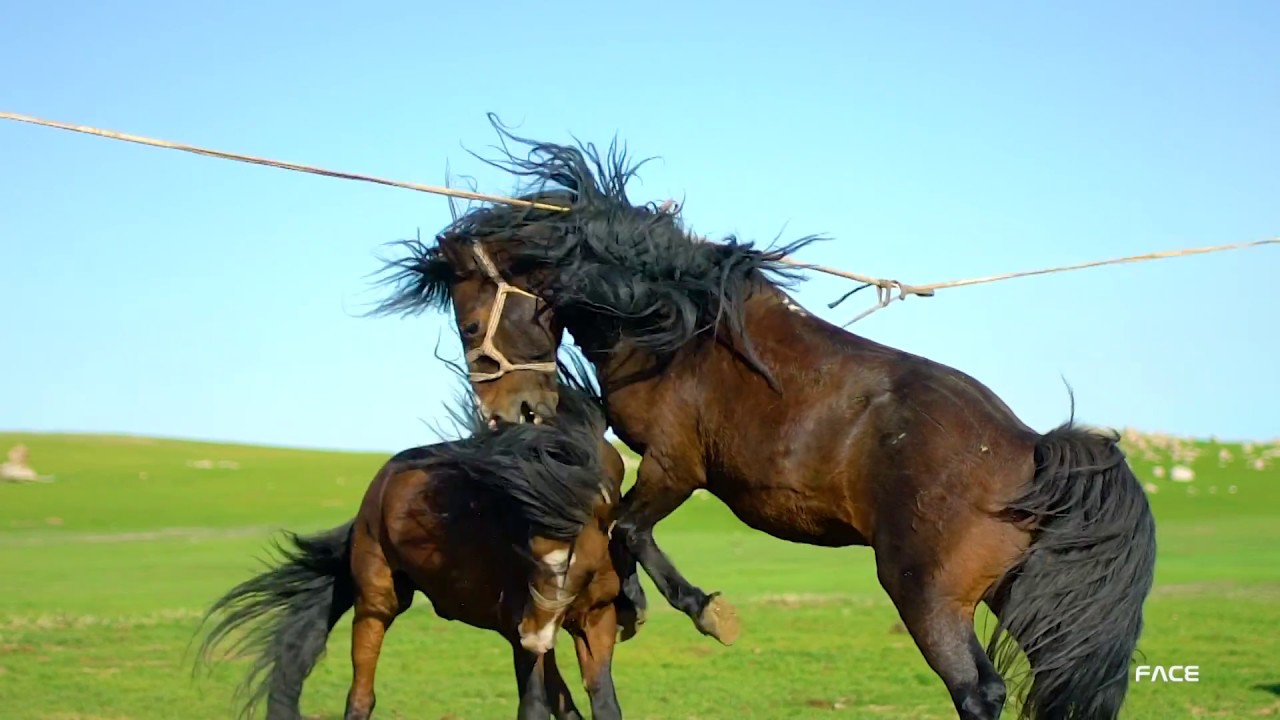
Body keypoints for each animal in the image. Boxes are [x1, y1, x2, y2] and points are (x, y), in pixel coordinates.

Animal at [195, 384, 629, 717]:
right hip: (378, 603)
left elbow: (602, 702)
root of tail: (380, 485)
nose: (534, 635)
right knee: (361, 695)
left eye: (572, 551)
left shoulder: (595, 621)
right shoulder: (521, 628)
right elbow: (535, 705)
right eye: (525, 545)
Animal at [378, 131, 1162, 712]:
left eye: (471, 323)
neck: (675, 327)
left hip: (928, 597)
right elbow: (621, 528)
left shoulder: (675, 465)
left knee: (981, 691)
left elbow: (628, 528)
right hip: (1018, 598)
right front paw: (636, 606)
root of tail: (1029, 448)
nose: (513, 414)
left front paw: (695, 610)